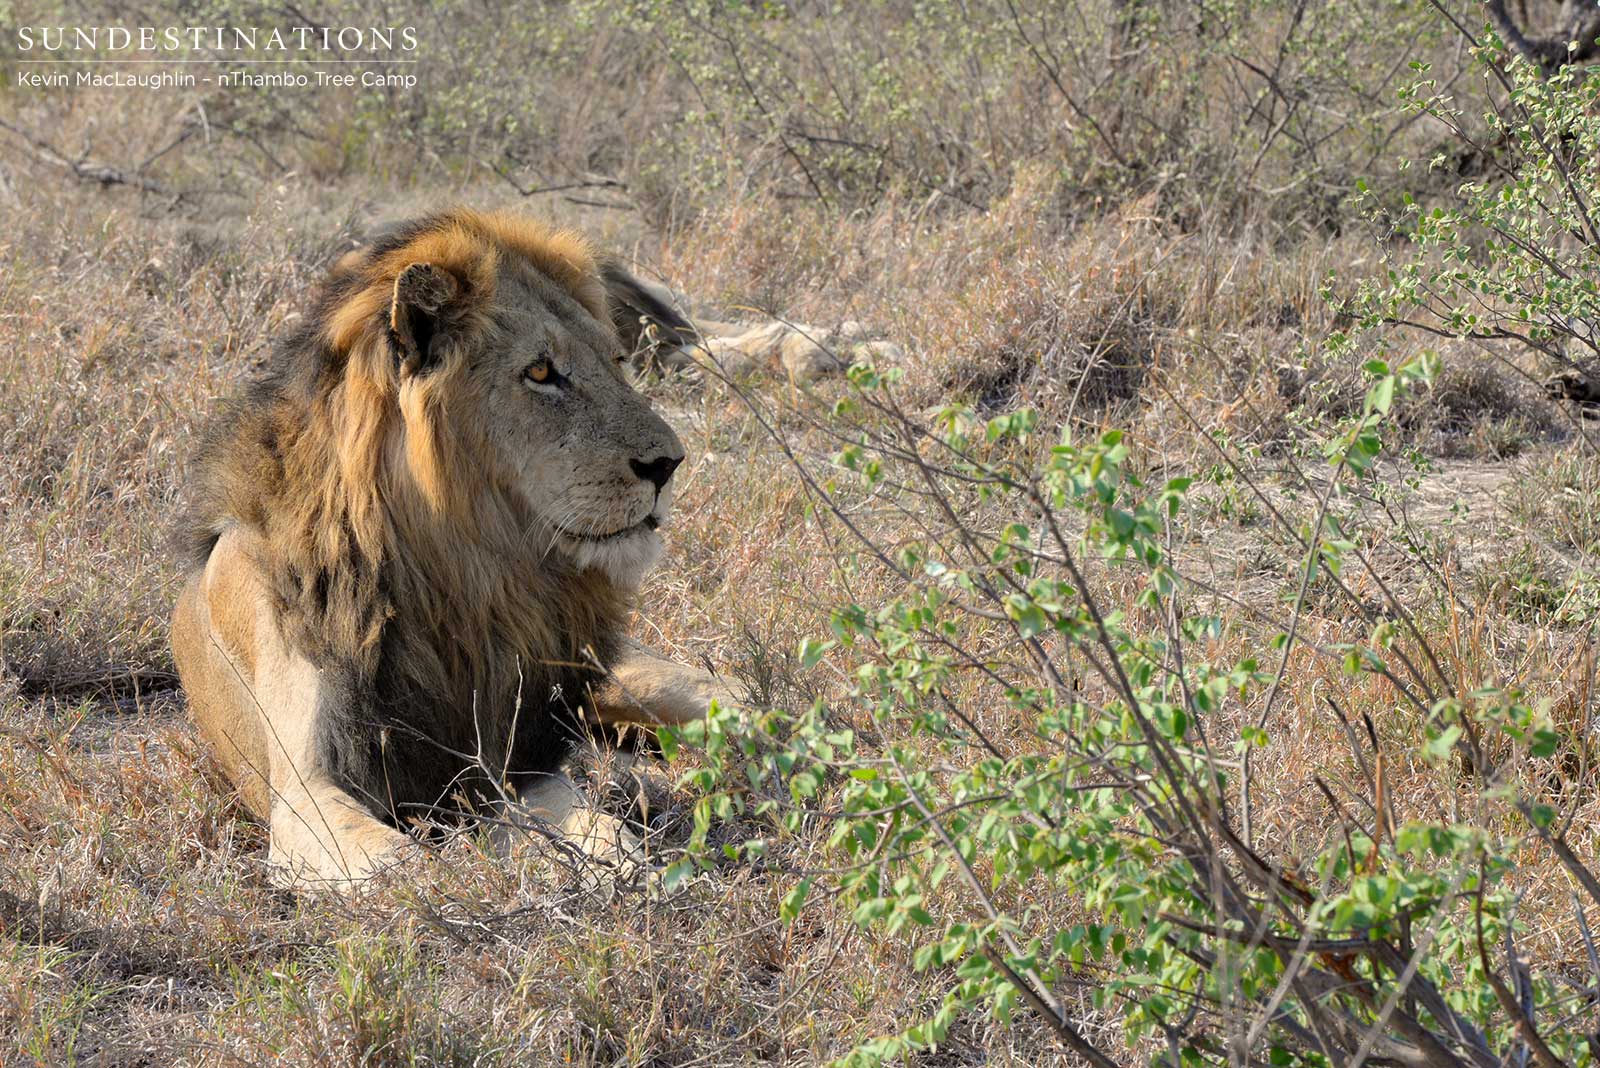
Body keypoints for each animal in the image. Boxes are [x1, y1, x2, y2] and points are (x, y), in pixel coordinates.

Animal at [167, 212, 726, 888]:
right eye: (541, 373)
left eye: (619, 362)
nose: (669, 464)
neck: (454, 573)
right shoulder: (305, 791)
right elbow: (399, 867)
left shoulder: (513, 762)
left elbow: (588, 823)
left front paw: (622, 866)